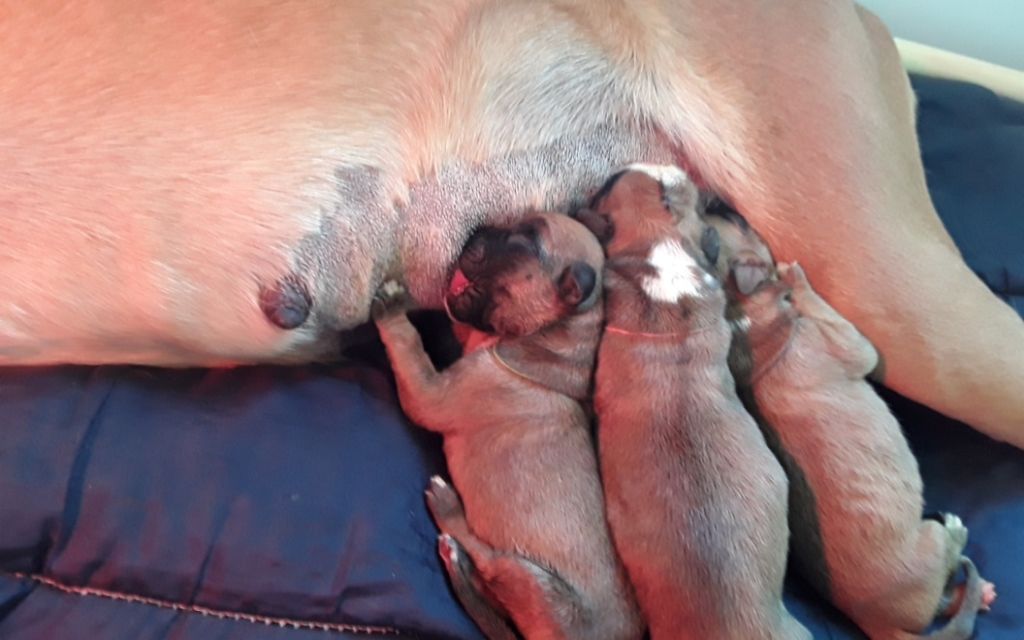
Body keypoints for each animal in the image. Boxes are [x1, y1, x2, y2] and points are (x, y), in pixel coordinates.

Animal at [372, 212, 638, 638]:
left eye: (525, 242)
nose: (475, 231)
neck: (545, 342)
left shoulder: (430, 394)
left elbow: (407, 345)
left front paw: (394, 311)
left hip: (533, 577)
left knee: (491, 560)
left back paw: (450, 515)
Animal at [708, 210, 995, 638]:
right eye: (740, 226)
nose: (728, 206)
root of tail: (878, 623)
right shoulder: (848, 342)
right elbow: (829, 319)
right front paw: (795, 280)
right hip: (930, 539)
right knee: (947, 563)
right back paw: (958, 536)